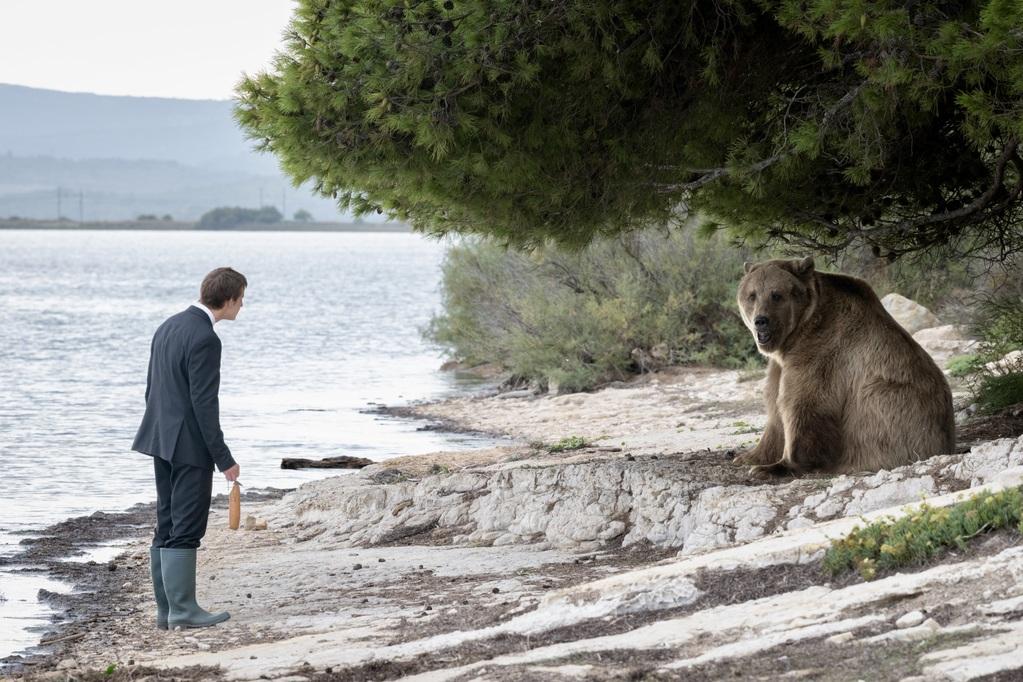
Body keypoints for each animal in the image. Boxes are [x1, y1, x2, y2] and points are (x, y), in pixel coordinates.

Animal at [733, 257, 955, 476]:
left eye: (776, 294)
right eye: (752, 295)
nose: (761, 320)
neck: (795, 336)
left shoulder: (821, 352)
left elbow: (802, 404)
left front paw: (775, 466)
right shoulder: (780, 365)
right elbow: (774, 406)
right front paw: (747, 457)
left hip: (895, 411)